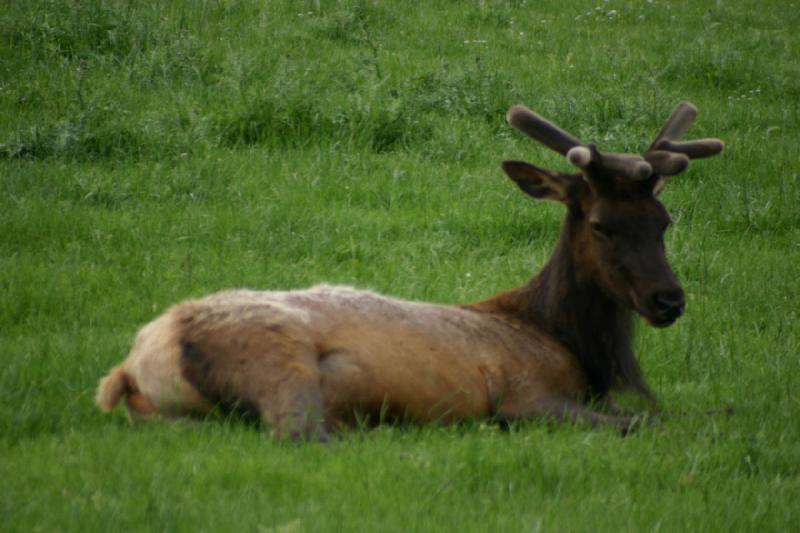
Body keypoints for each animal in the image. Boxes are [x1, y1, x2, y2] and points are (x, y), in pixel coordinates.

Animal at [95, 102, 724, 438]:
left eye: (664, 220)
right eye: (600, 224)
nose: (668, 299)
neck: (572, 346)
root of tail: (133, 365)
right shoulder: (524, 395)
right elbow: (650, 421)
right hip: (276, 359)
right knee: (299, 433)